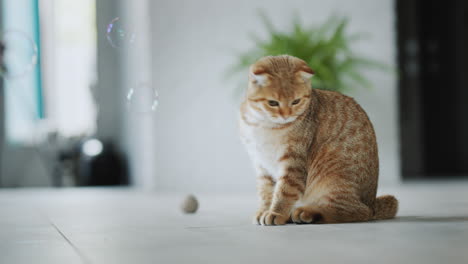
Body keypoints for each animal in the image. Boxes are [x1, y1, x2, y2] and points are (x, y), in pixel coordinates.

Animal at [239, 54, 396, 226]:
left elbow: (284, 192)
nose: (286, 115)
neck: (263, 124)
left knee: (356, 211)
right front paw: (264, 210)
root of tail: (372, 204)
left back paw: (308, 212)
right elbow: (266, 192)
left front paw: (276, 213)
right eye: (273, 103)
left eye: (296, 101)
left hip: (333, 177)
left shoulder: (293, 163)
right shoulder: (261, 165)